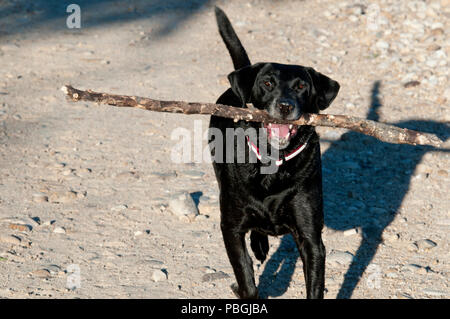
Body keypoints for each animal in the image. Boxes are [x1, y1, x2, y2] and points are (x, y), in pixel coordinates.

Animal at [209, 8, 340, 300]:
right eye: (267, 83)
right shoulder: (231, 229)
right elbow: (246, 278)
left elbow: (315, 284)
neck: (273, 162)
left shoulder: (311, 237)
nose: (285, 105)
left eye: (302, 87)